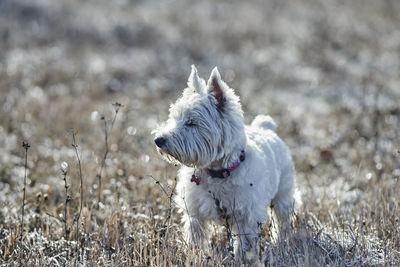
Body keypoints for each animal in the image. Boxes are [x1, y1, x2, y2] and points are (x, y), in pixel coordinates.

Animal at [153, 65, 296, 260]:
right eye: (174, 118)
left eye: (191, 123)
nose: (158, 140)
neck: (218, 171)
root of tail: (266, 127)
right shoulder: (196, 213)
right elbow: (195, 238)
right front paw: (194, 256)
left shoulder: (246, 216)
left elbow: (244, 244)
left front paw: (243, 259)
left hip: (284, 194)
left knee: (283, 219)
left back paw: (282, 242)